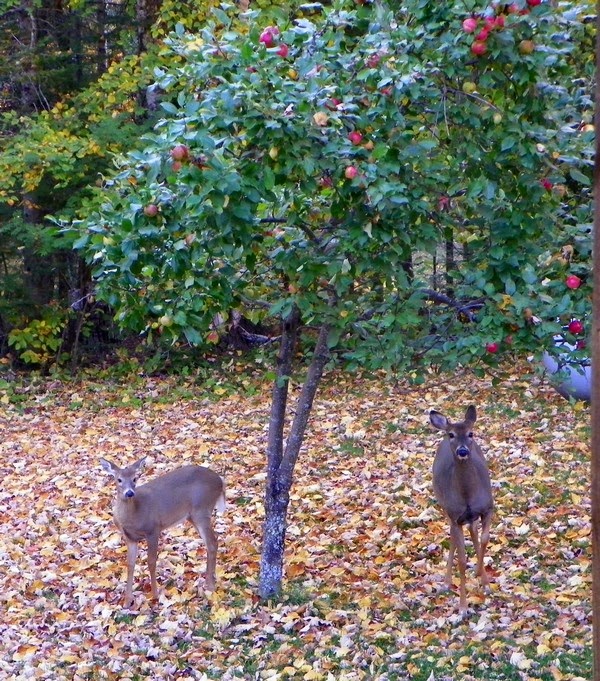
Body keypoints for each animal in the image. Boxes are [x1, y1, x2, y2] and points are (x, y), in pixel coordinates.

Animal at [100, 457, 225, 608]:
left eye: (135, 478)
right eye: (119, 479)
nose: (129, 493)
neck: (134, 515)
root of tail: (220, 481)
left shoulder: (153, 529)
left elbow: (151, 562)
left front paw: (154, 595)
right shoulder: (129, 538)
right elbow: (130, 564)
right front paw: (127, 601)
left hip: (201, 509)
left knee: (212, 543)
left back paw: (210, 586)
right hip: (192, 516)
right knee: (211, 543)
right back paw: (210, 582)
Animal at [429, 405, 493, 613]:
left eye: (470, 433)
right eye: (451, 434)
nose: (463, 450)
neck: (467, 496)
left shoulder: (488, 508)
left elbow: (484, 538)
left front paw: (482, 576)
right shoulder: (455, 515)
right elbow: (462, 560)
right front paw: (463, 606)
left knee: (473, 531)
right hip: (445, 507)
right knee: (452, 535)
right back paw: (446, 582)